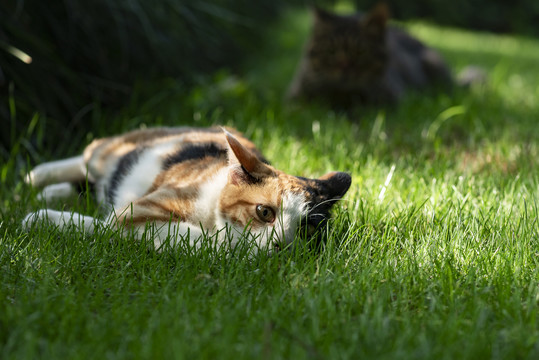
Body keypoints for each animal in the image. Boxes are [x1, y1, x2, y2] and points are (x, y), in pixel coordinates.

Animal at [23, 126, 352, 253]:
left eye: (307, 228)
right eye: (264, 212)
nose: (282, 245)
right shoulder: (138, 212)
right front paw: (40, 218)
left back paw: (52, 195)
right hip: (113, 150)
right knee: (87, 157)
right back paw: (34, 179)